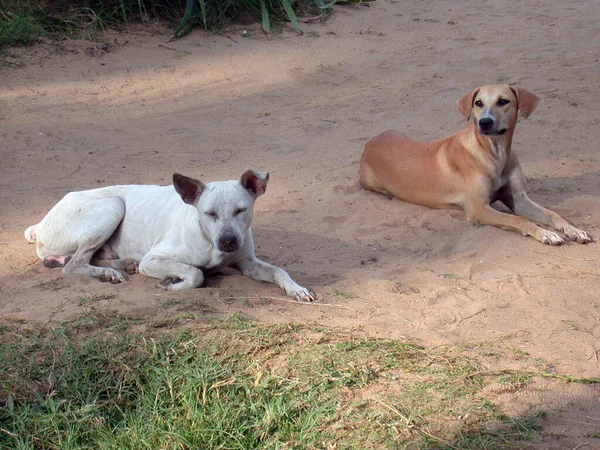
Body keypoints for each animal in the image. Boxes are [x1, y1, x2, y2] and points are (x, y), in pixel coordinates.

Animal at [24, 171, 314, 300]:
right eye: (209, 213)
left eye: (241, 210)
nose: (228, 241)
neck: (207, 239)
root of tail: (41, 222)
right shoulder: (153, 260)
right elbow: (195, 274)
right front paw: (173, 282)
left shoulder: (248, 263)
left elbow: (279, 271)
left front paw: (296, 288)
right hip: (114, 205)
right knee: (73, 265)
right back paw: (109, 272)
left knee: (87, 258)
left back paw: (119, 265)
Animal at [360, 84, 592, 246]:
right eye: (478, 103)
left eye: (503, 101)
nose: (485, 122)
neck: (494, 152)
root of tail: (371, 142)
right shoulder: (478, 208)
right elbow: (519, 220)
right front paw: (545, 233)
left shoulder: (518, 199)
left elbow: (553, 214)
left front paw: (573, 230)